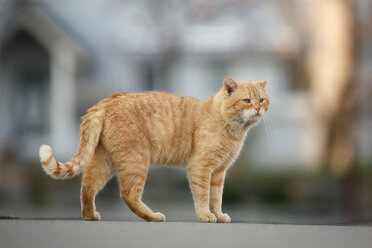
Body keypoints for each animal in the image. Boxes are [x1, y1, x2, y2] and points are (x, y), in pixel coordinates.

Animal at [39, 77, 268, 223]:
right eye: (247, 100)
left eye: (262, 100)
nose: (257, 108)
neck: (233, 130)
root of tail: (106, 102)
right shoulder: (201, 167)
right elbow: (203, 196)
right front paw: (206, 216)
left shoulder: (219, 173)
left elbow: (216, 197)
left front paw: (219, 215)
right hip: (137, 161)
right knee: (128, 194)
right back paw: (153, 216)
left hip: (105, 162)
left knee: (87, 185)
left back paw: (90, 215)